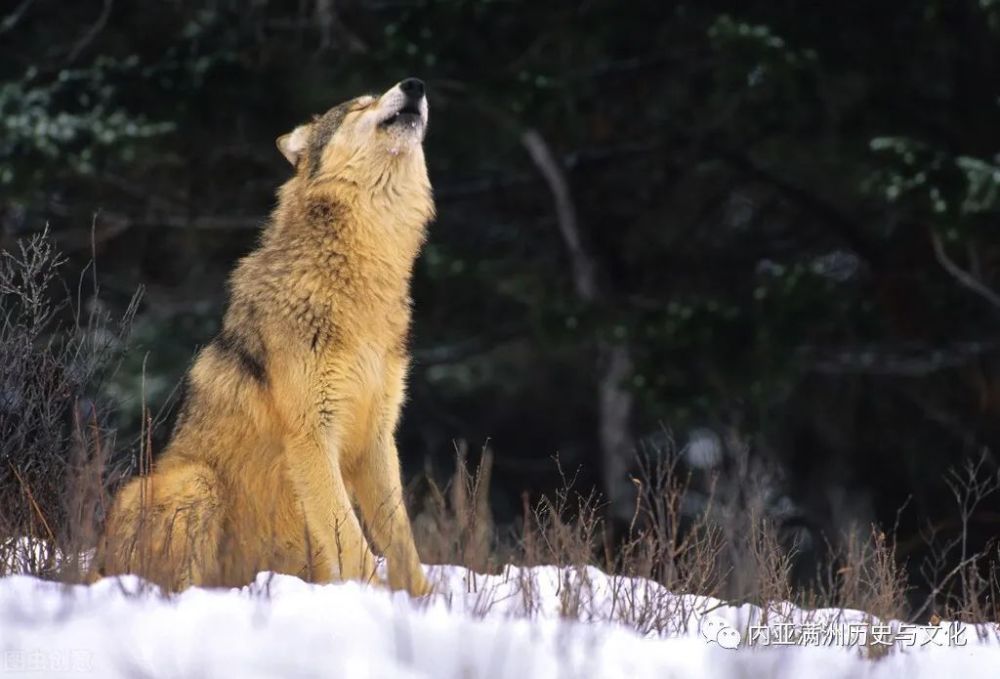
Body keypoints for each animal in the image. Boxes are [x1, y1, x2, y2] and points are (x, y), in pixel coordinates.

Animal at [96, 77, 434, 596]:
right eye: (362, 103)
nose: (414, 85)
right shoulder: (311, 435)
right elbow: (354, 542)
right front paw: (371, 600)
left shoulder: (377, 437)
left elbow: (401, 541)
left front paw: (423, 600)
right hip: (194, 481)